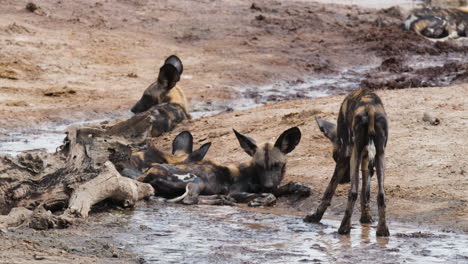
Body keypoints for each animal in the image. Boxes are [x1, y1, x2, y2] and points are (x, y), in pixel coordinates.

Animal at [137, 127, 310, 206]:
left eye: (276, 165)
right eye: (259, 166)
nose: (268, 185)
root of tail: (147, 172)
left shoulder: (272, 186)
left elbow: (288, 186)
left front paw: (302, 187)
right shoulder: (237, 192)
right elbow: (270, 196)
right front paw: (259, 201)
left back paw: (221, 199)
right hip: (197, 181)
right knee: (189, 200)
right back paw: (222, 199)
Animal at [302, 89, 390, 237]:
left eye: (334, 157)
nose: (344, 181)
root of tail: (370, 109)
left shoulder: (345, 156)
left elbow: (329, 191)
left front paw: (315, 217)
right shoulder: (365, 159)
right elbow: (365, 193)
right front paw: (366, 218)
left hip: (354, 154)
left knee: (353, 192)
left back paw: (343, 228)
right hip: (379, 155)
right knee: (381, 195)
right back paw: (382, 230)